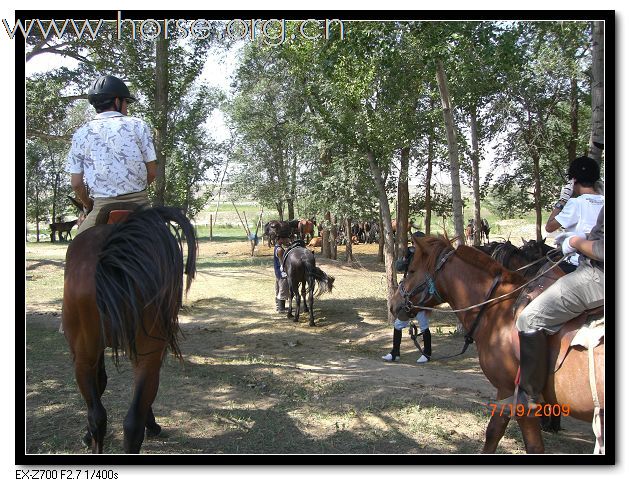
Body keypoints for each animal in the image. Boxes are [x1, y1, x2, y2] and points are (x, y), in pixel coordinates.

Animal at [390, 235, 608, 454]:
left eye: (412, 271)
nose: (393, 303)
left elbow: (528, 444)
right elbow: (493, 433)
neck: (499, 312)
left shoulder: (512, 393)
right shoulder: (505, 394)